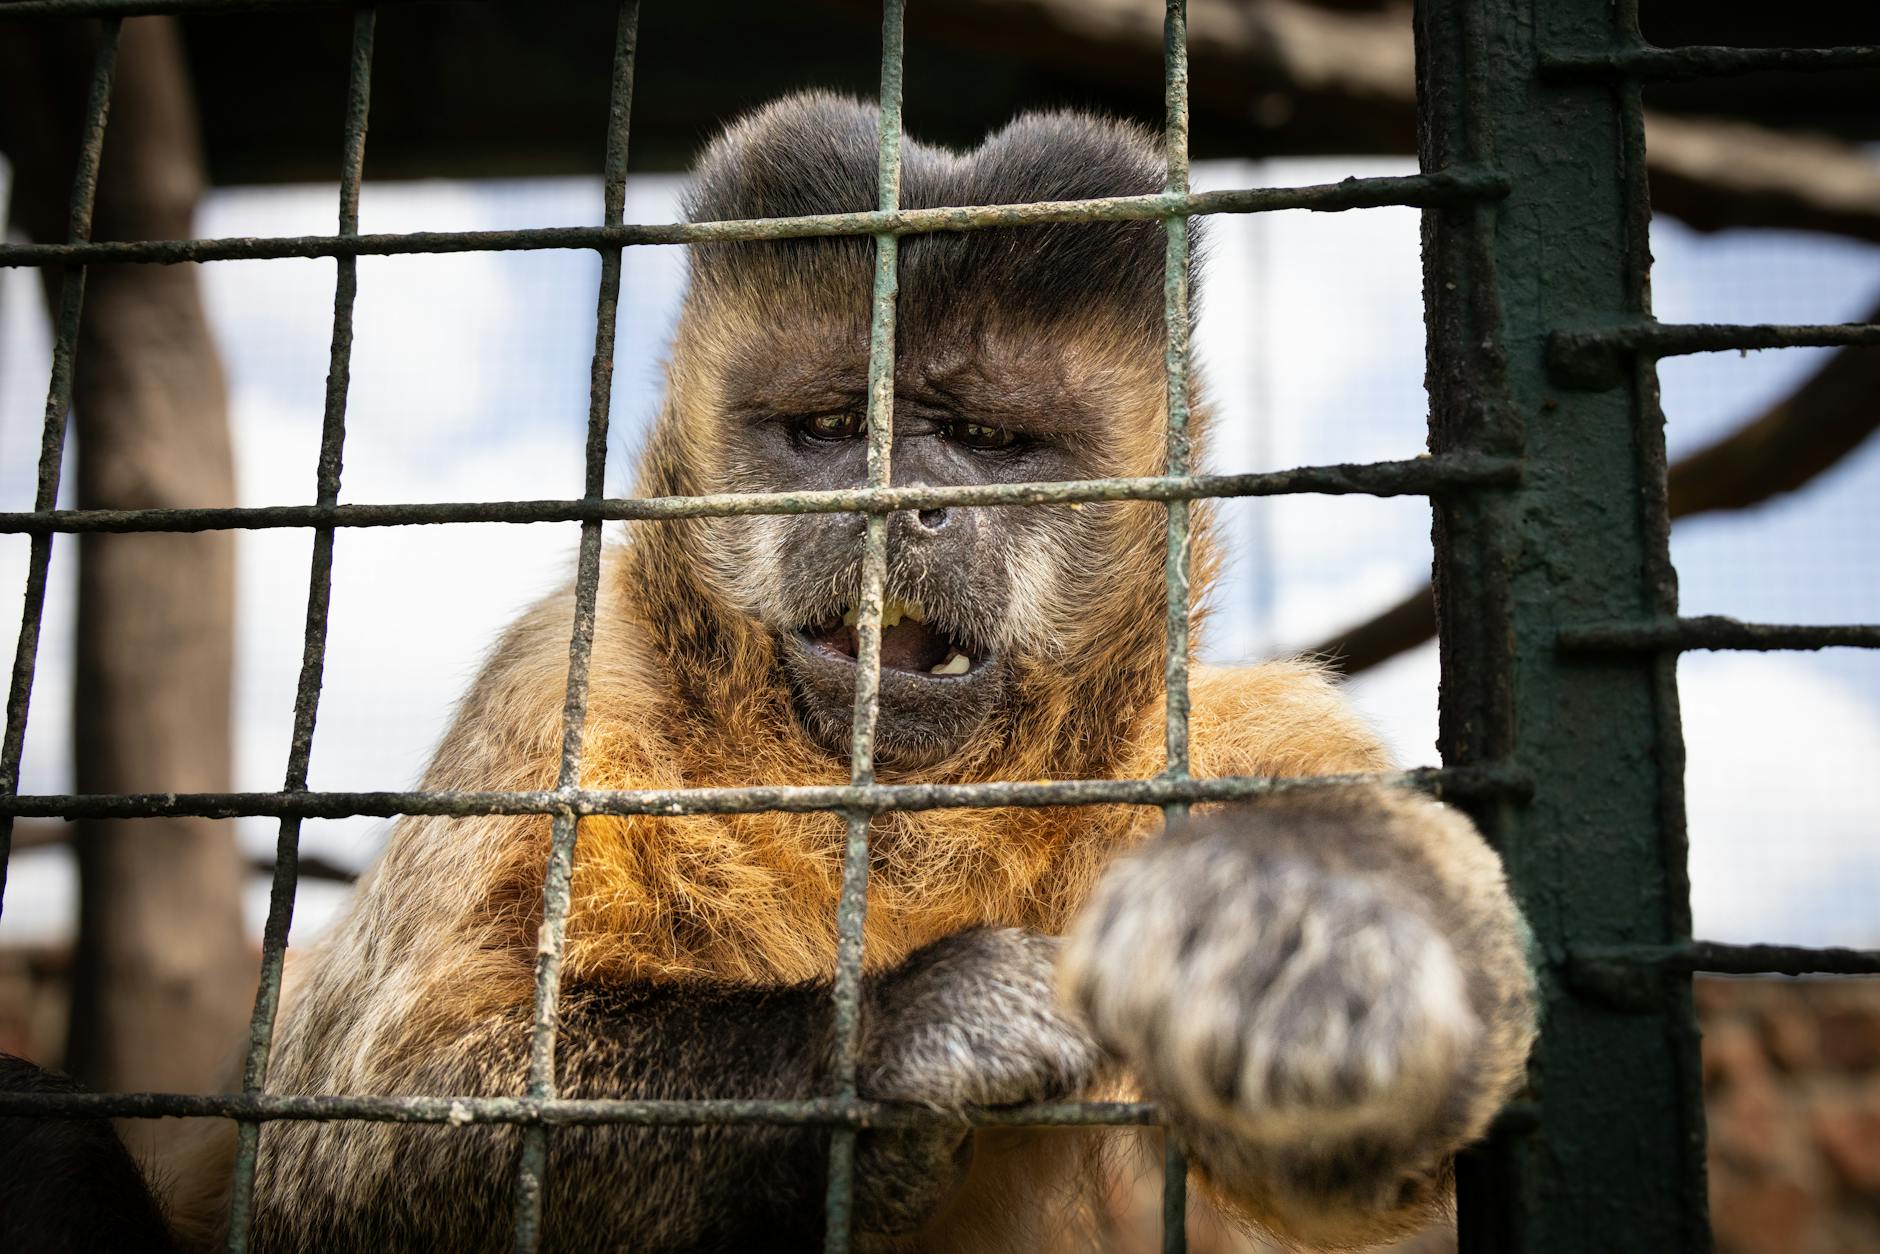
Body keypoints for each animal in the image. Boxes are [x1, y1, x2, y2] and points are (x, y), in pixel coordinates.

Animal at [167, 92, 1536, 1252]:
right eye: (831, 430)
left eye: (981, 440)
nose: (901, 504)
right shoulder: (558, 689)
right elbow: (335, 1152)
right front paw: (899, 1036)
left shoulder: (1217, 733)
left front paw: (1317, 921)